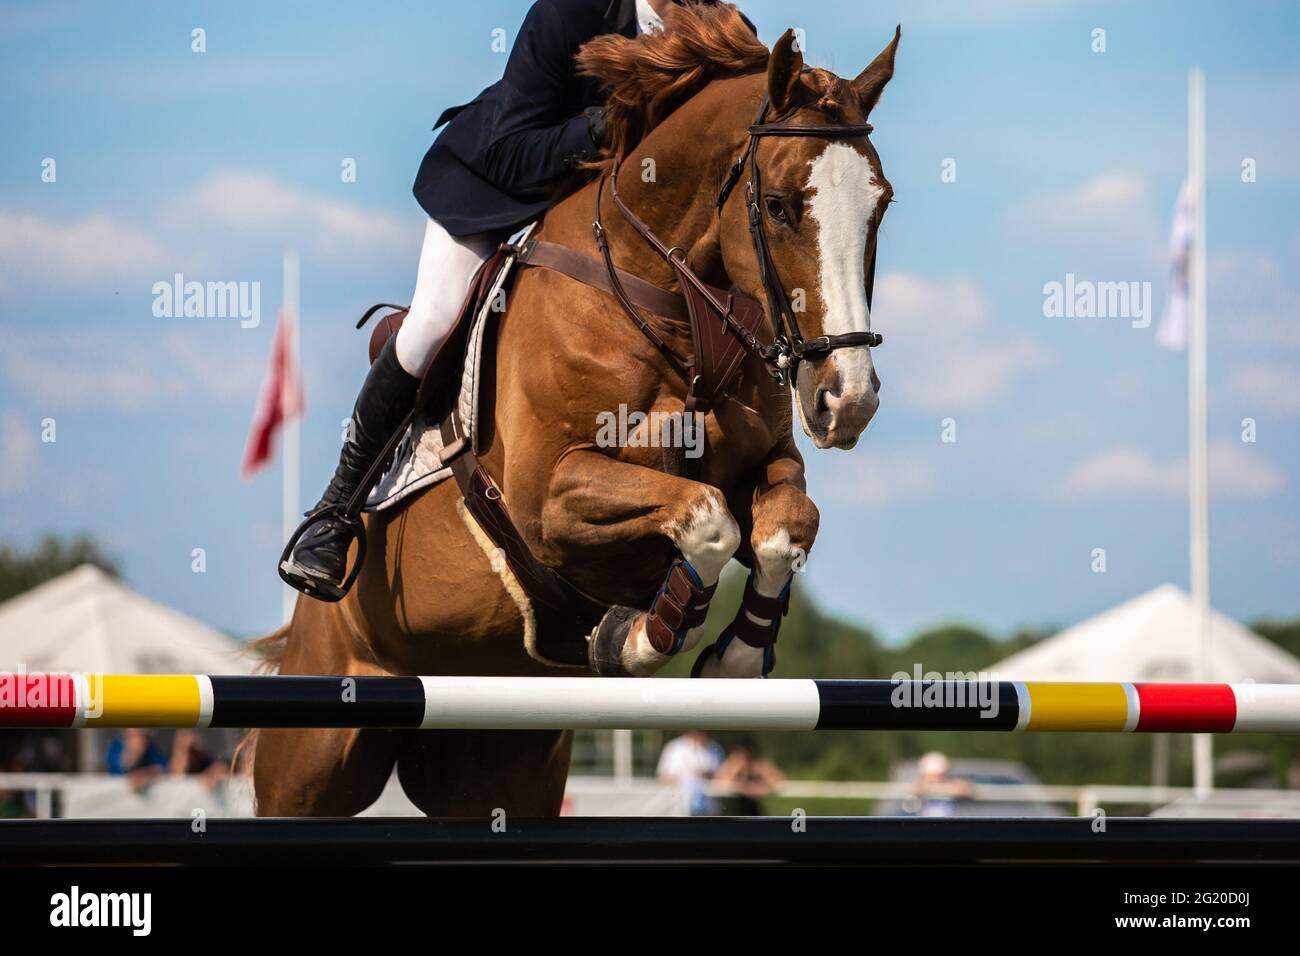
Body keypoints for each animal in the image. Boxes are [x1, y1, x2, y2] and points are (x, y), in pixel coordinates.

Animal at [253, 3, 904, 816]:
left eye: (881, 205)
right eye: (781, 207)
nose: (848, 400)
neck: (664, 299)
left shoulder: (766, 461)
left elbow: (785, 526)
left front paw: (734, 656)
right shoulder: (547, 498)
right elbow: (704, 517)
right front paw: (637, 636)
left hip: (503, 761)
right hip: (313, 756)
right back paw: (319, 546)